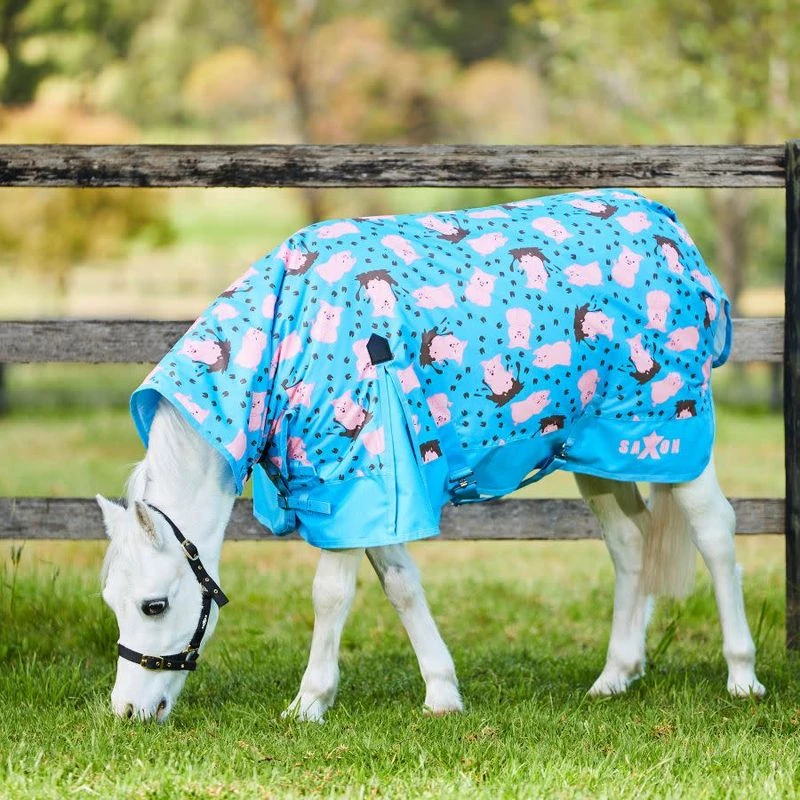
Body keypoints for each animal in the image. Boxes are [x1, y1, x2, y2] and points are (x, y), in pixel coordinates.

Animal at [97, 189, 764, 722]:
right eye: (112, 601)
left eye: (154, 605)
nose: (127, 710)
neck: (287, 340)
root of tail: (670, 226)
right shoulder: (375, 488)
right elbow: (401, 585)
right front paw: (442, 693)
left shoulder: (350, 474)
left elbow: (330, 595)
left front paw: (308, 703)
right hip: (600, 451)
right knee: (631, 545)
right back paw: (616, 675)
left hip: (676, 436)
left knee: (715, 533)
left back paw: (742, 676)